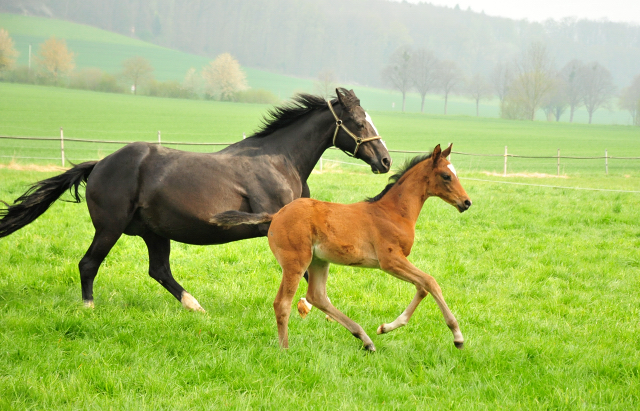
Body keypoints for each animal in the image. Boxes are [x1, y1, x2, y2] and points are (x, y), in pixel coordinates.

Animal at [1, 87, 390, 312]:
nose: (385, 160)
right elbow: (306, 269)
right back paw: (88, 308)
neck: (281, 160)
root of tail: (99, 164)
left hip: (155, 232)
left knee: (158, 270)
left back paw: (195, 307)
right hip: (110, 228)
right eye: (358, 121)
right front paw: (312, 306)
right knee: (88, 264)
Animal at [211, 144, 470, 350]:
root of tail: (276, 215)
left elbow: (422, 287)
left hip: (319, 261)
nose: (466, 202)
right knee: (282, 303)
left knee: (317, 296)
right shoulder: (390, 261)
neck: (394, 212)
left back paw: (365, 339)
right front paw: (457, 336)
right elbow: (430, 282)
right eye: (446, 176)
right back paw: (284, 349)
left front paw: (385, 327)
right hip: (296, 262)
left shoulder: (397, 262)